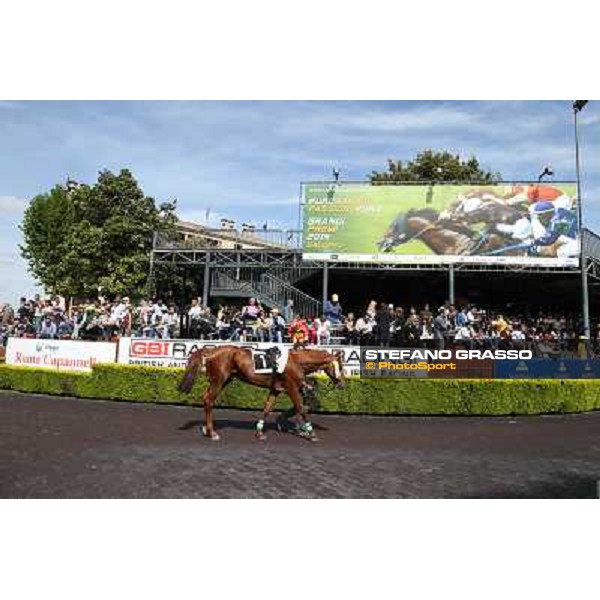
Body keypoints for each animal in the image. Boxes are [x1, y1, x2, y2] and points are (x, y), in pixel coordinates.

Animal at [178, 346, 344, 440]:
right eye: (340, 367)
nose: (342, 384)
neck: (296, 361)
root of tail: (210, 350)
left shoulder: (275, 390)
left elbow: (267, 409)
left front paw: (259, 432)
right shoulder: (291, 388)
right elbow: (301, 408)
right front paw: (311, 432)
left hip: (224, 380)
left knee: (206, 399)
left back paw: (206, 429)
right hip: (219, 380)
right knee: (209, 401)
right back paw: (212, 433)